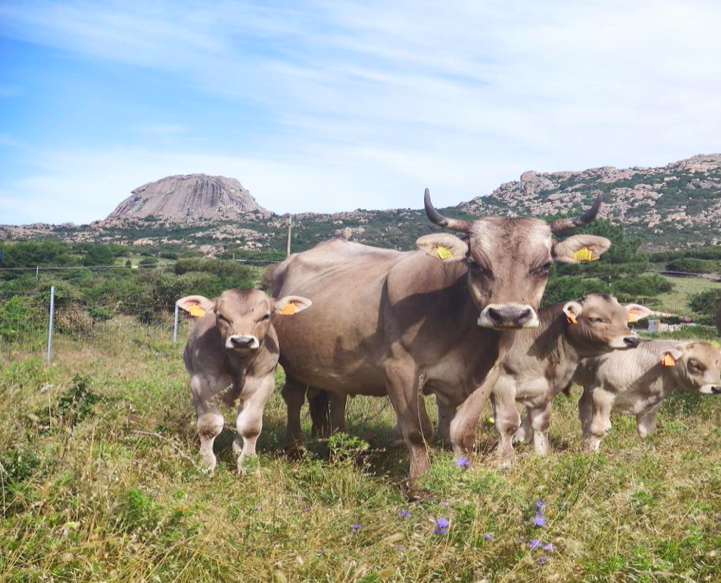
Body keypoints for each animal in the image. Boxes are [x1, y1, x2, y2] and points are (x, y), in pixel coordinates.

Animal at [268, 190, 608, 484]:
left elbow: (462, 430)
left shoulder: (488, 375)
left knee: (335, 396)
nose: (508, 315)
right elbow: (418, 431)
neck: (467, 336)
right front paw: (419, 483)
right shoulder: (400, 370)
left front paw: (463, 471)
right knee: (294, 397)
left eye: (544, 265)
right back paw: (296, 446)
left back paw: (339, 442)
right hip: (292, 360)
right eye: (475, 264)